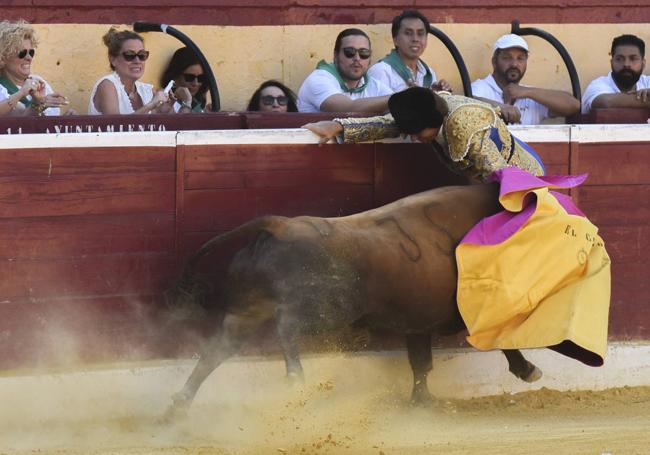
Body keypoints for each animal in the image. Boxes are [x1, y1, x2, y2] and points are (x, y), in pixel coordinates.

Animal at [163, 183, 540, 418]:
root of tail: (280, 225)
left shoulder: (417, 324)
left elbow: (421, 363)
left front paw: (422, 402)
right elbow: (504, 340)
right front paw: (528, 370)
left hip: (247, 311)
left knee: (216, 351)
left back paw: (177, 407)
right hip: (329, 308)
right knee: (287, 325)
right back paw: (295, 375)